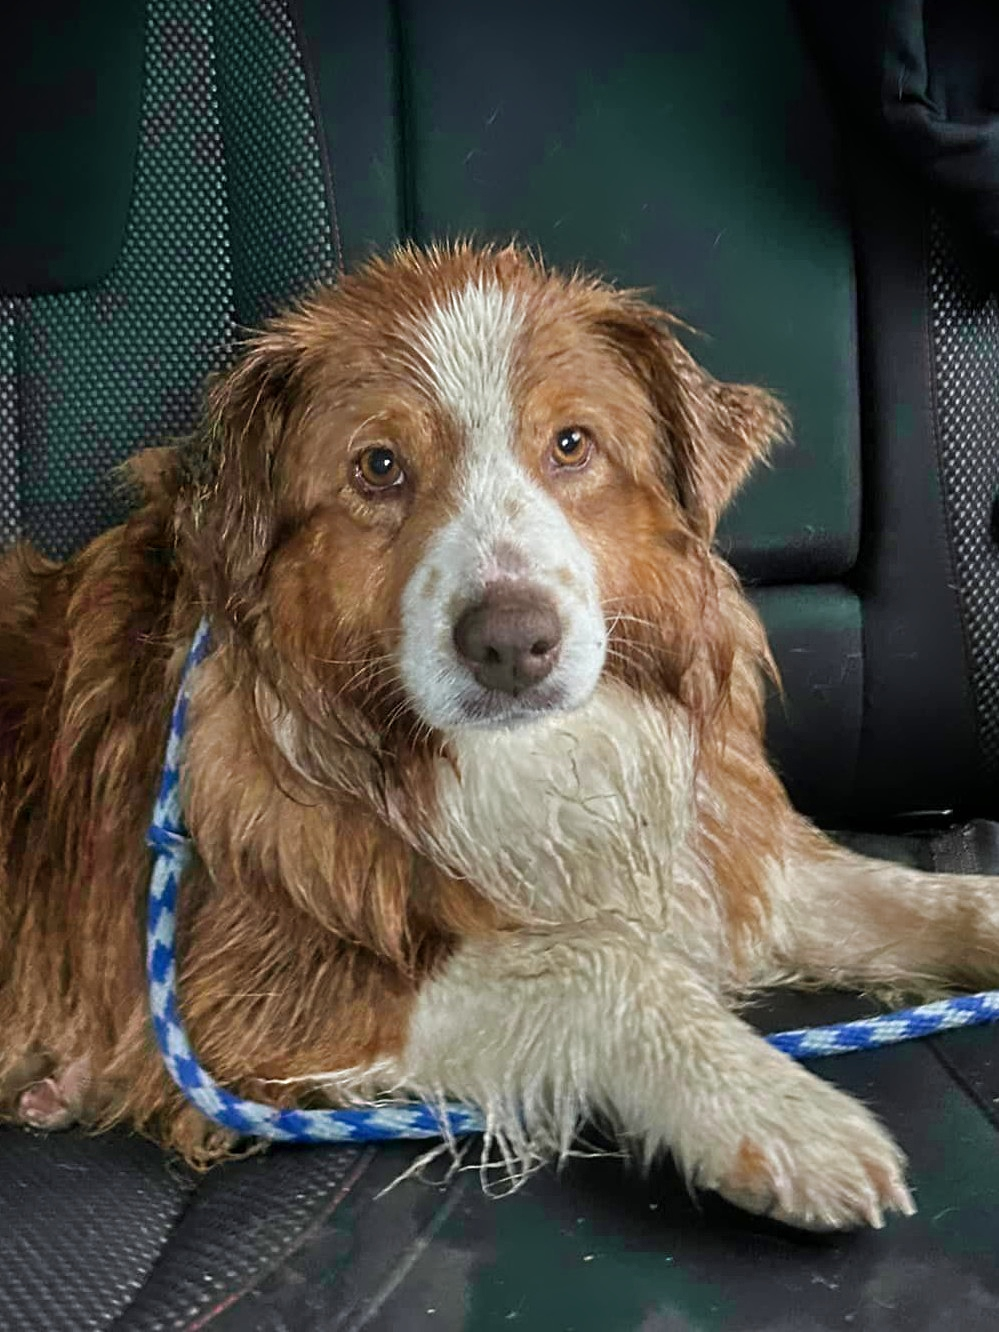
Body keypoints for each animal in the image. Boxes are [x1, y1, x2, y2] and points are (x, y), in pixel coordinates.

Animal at [1, 242, 999, 1225]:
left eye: (571, 444)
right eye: (378, 466)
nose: (511, 643)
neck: (520, 760)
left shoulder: (718, 854)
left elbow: (917, 897)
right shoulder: (235, 986)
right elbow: (598, 960)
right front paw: (771, 1107)